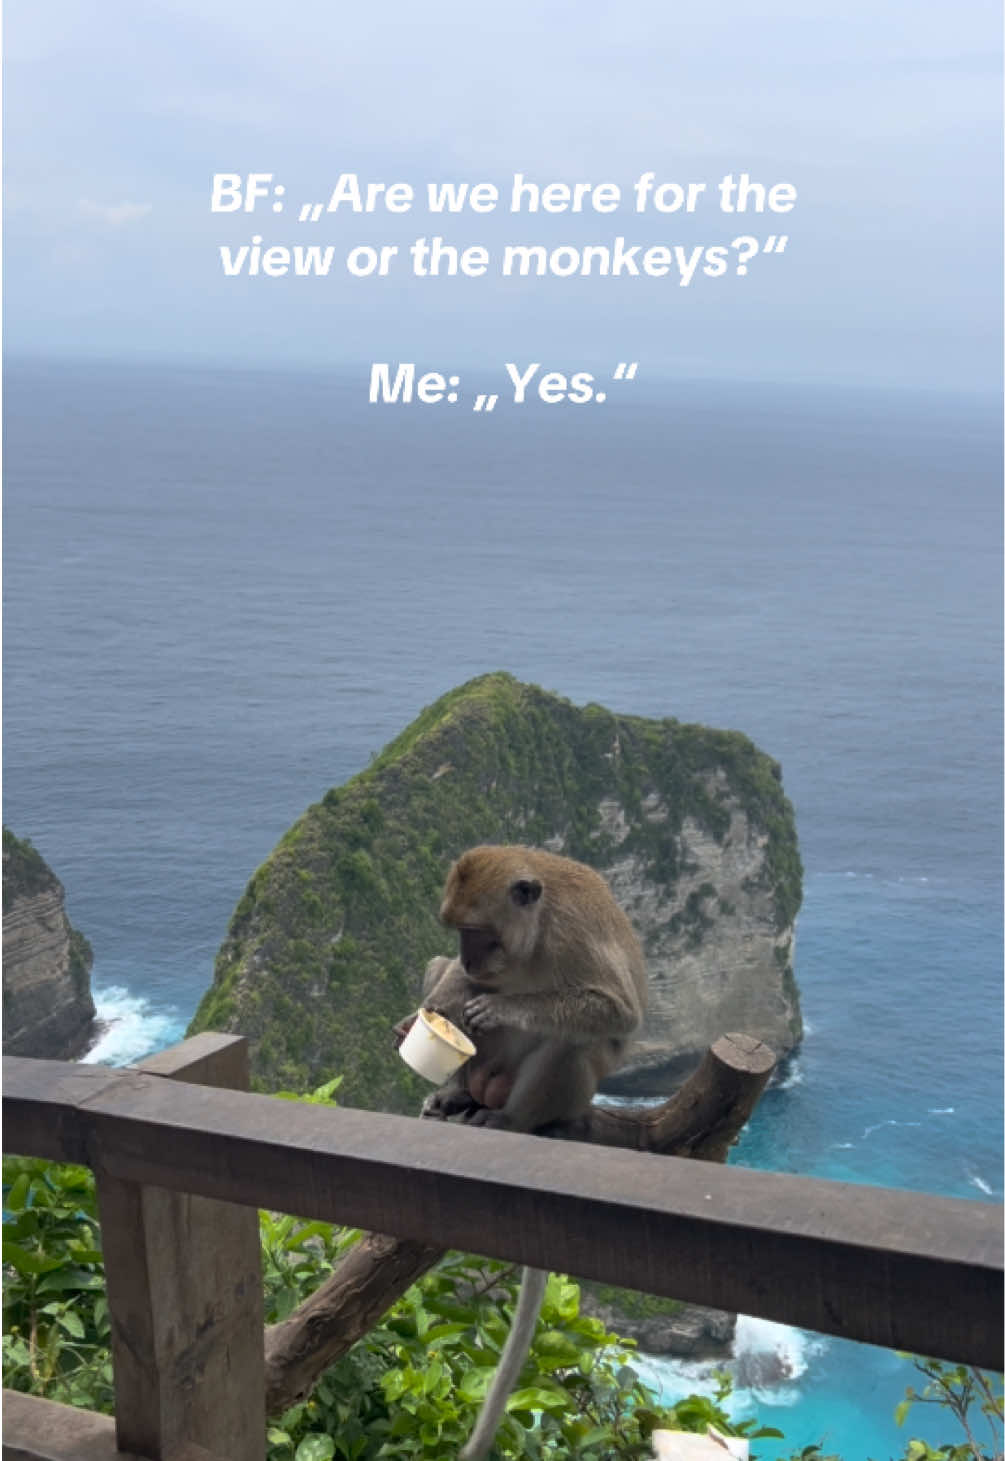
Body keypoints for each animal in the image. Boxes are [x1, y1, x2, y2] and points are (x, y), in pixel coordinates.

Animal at [400, 845, 648, 1460]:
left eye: (478, 930)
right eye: (459, 929)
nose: (471, 957)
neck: (533, 938)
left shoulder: (575, 937)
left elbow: (616, 1011)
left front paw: (508, 1009)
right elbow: (447, 978)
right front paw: (435, 1004)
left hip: (567, 1092)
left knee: (572, 1042)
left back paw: (510, 1117)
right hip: (484, 1069)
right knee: (444, 981)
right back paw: (455, 1092)